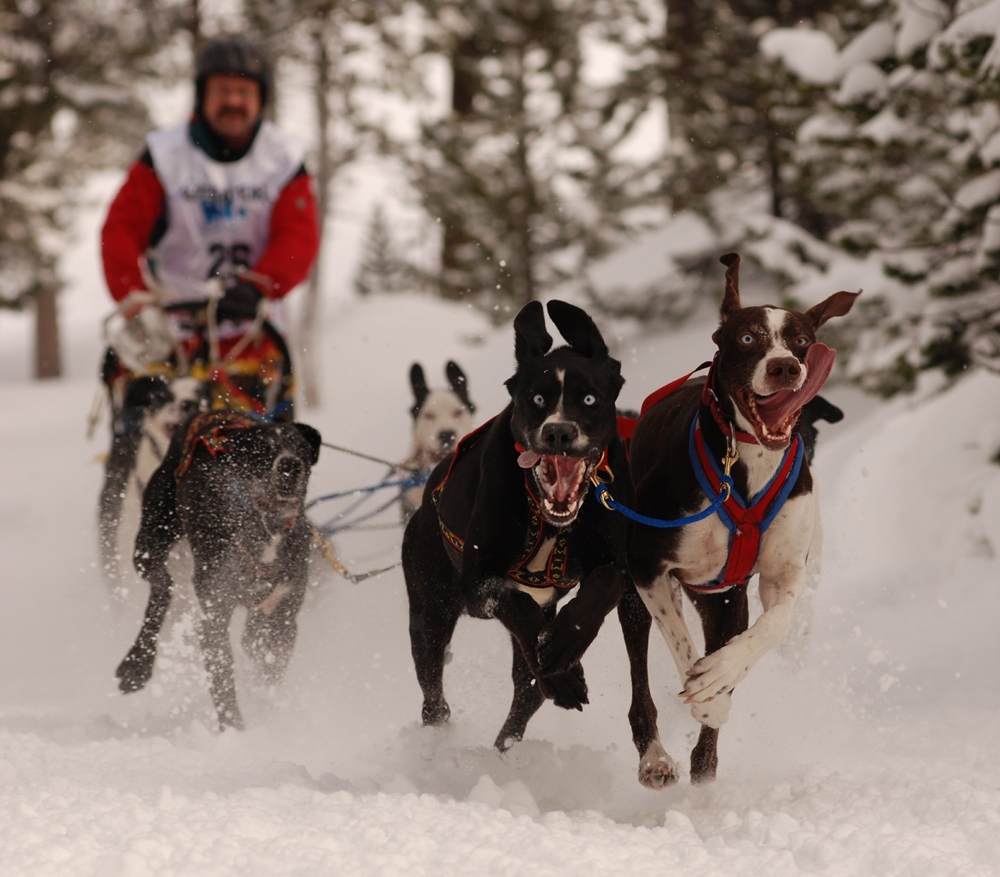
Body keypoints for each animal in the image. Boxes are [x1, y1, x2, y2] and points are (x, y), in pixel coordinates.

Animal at [616, 253, 860, 788]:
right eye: (748, 338)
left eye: (801, 340)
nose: (786, 366)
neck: (746, 463)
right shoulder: (648, 567)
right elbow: (680, 642)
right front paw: (708, 695)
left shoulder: (776, 577)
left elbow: (770, 628)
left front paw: (721, 676)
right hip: (630, 591)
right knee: (641, 680)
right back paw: (655, 756)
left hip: (722, 600)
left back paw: (704, 764)